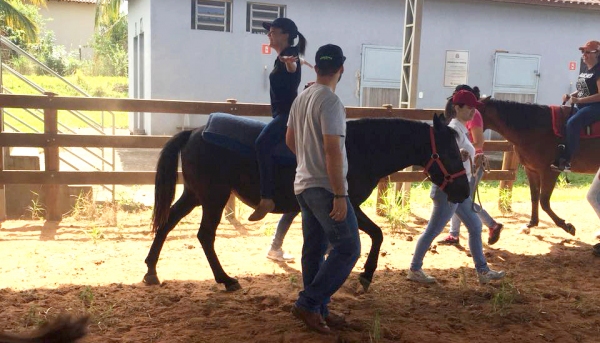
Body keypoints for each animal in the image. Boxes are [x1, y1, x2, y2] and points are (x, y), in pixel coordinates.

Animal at [144, 114, 468, 292]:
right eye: (451, 152)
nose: (464, 191)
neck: (358, 148)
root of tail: (194, 132)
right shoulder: (347, 205)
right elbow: (377, 233)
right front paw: (365, 276)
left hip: (195, 194)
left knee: (168, 222)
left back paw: (151, 270)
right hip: (213, 197)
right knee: (204, 236)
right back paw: (225, 279)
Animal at [478, 98, 600, 235]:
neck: (536, 129)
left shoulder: (549, 172)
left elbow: (544, 202)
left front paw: (566, 226)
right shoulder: (531, 170)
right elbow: (534, 197)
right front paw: (532, 223)